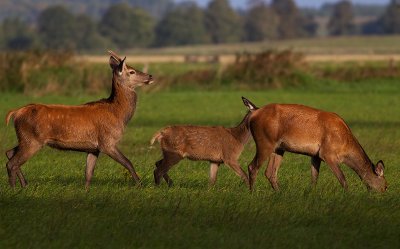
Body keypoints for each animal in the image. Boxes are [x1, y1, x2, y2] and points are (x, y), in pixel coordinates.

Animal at [4, 51, 153, 189]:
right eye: (132, 71)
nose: (150, 76)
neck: (118, 113)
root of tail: (16, 112)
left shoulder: (94, 148)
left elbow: (88, 173)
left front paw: (86, 192)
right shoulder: (107, 142)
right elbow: (128, 162)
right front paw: (140, 185)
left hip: (26, 138)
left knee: (9, 153)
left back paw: (24, 185)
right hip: (32, 140)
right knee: (11, 163)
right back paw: (14, 189)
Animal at [242, 96, 390, 192]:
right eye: (385, 186)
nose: (383, 194)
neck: (345, 147)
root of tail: (255, 111)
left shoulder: (315, 155)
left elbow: (314, 179)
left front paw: (311, 196)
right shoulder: (327, 153)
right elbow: (343, 179)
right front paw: (348, 196)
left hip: (278, 148)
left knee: (270, 172)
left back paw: (279, 193)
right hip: (264, 141)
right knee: (252, 167)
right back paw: (252, 194)